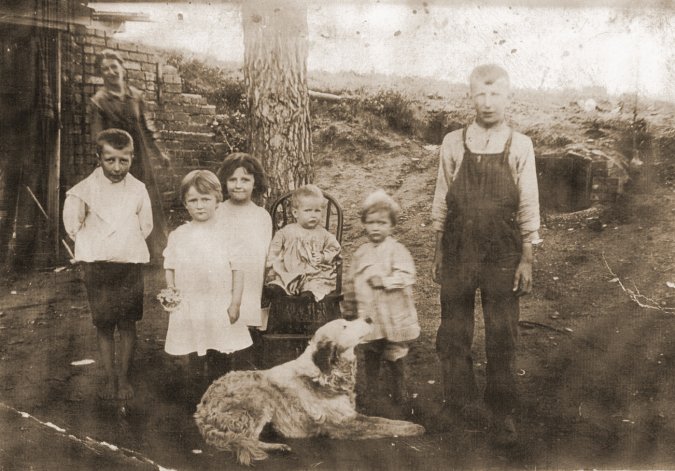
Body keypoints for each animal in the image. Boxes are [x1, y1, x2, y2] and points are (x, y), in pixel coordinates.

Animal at [195, 318, 426, 466]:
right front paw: (413, 427)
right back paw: (277, 446)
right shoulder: (346, 423)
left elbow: (384, 421)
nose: (369, 317)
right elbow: (384, 423)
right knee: (245, 439)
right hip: (259, 400)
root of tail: (202, 409)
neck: (326, 374)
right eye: (345, 325)